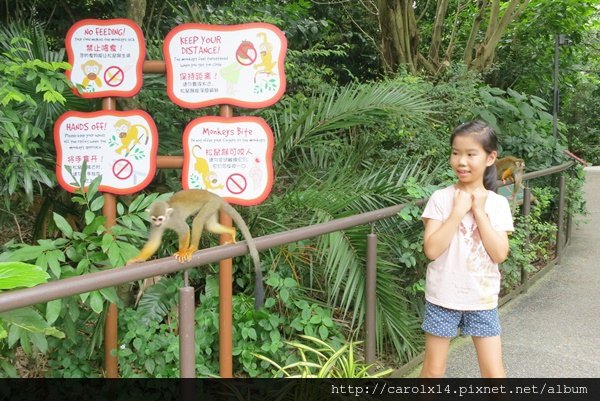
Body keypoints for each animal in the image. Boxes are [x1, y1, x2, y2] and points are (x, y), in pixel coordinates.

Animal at [127, 189, 264, 308]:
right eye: (154, 219)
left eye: (160, 219)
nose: (157, 223)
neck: (167, 221)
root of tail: (215, 196)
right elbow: (154, 242)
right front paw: (138, 259)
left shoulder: (175, 219)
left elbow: (185, 230)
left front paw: (182, 252)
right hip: (213, 207)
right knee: (210, 225)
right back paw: (232, 231)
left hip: (210, 204)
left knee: (198, 221)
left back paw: (193, 248)